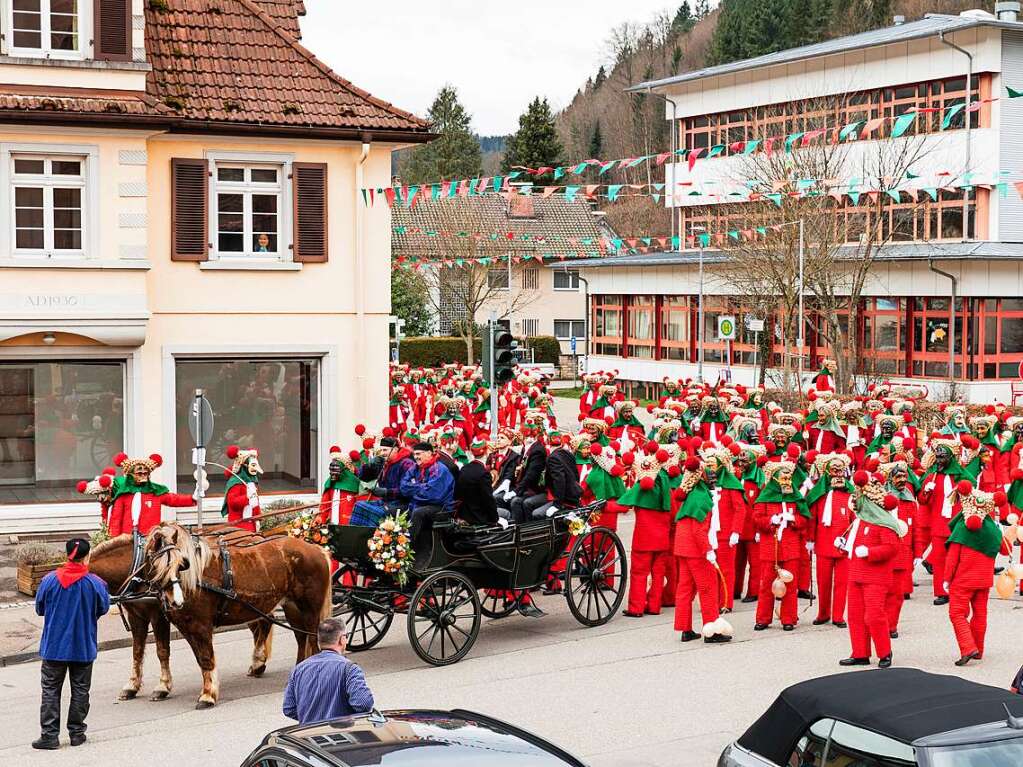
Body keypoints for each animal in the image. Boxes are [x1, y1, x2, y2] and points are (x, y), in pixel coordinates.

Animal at [141, 527, 327, 711]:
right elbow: (198, 659)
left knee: (312, 639)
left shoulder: (201, 626)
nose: (177, 602)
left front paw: (208, 695)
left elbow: (206, 659)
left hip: (310, 610)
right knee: (301, 638)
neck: (195, 581)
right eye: (157, 566)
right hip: (292, 607)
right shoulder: (185, 626)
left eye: (181, 565)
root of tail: (315, 549)